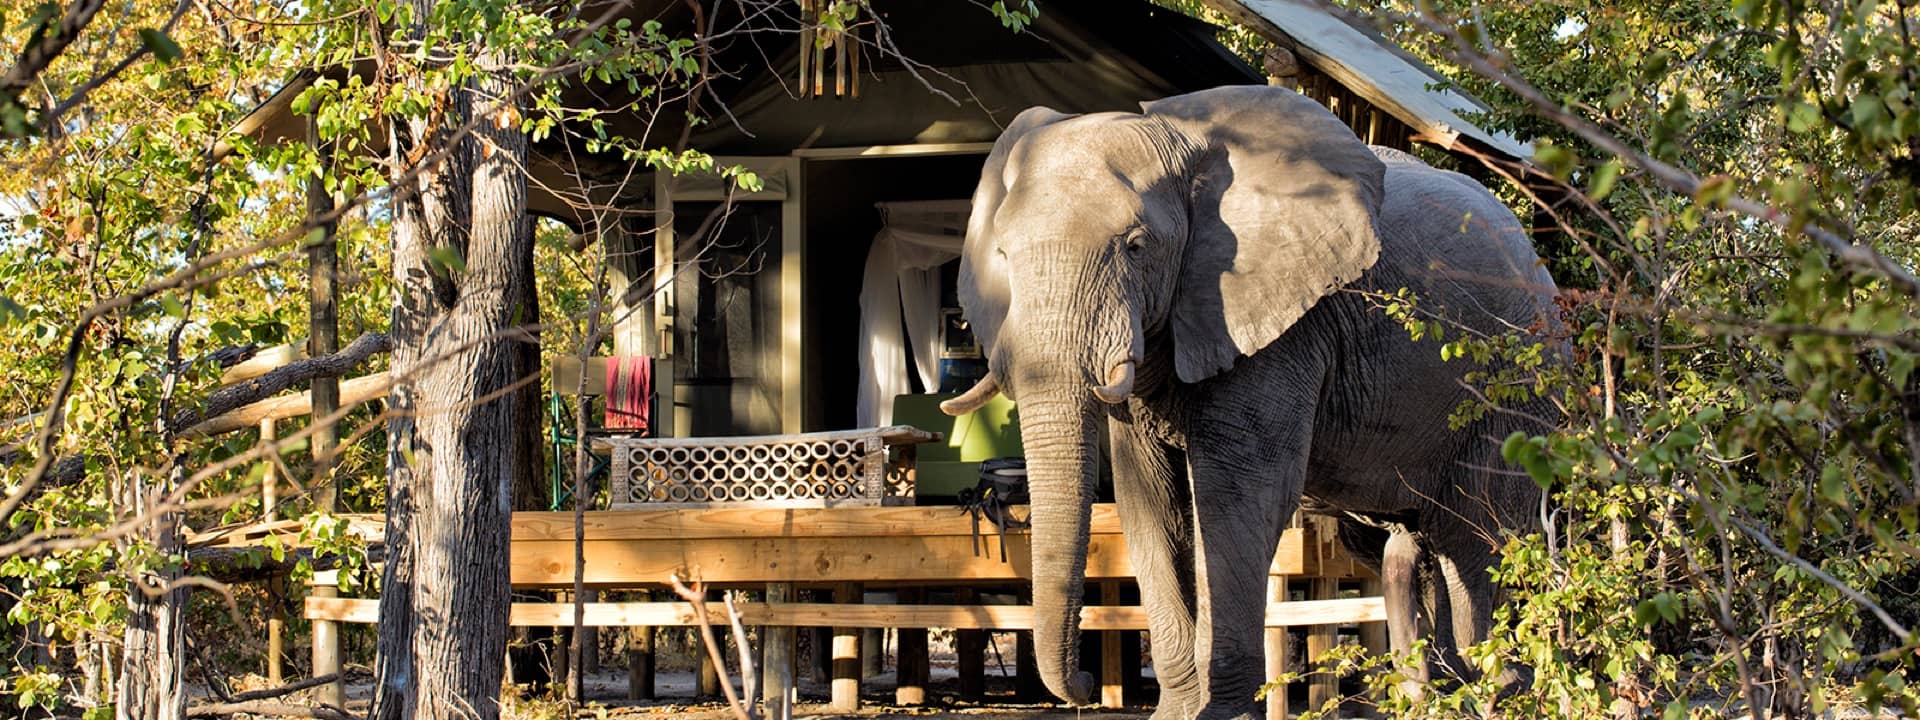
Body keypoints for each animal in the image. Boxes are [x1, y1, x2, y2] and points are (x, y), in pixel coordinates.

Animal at [937, 85, 1559, 719]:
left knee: (1479, 534)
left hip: (1519, 387)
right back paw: (1447, 696)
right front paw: (1177, 712)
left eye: (1136, 247)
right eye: (1003, 255)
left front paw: (1222, 713)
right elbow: (1149, 499)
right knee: (1410, 541)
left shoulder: (1285, 327)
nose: (1085, 687)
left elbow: (1235, 495)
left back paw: (1499, 691)